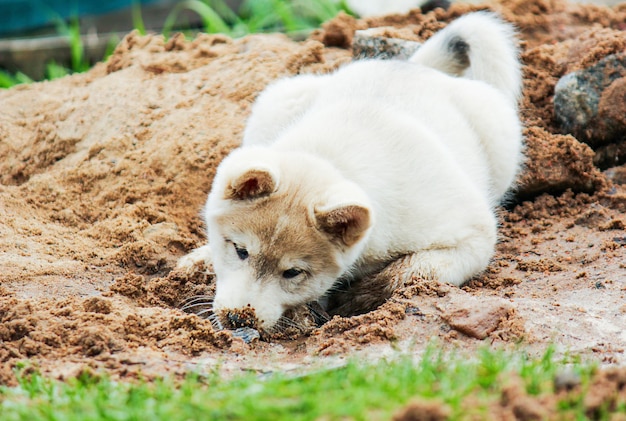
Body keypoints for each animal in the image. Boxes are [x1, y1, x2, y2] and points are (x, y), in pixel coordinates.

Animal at [179, 13, 520, 332]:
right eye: (240, 251)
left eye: (293, 272)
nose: (237, 319)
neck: (333, 158)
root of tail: (413, 67)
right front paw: (201, 257)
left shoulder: (474, 236)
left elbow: (413, 269)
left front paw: (362, 296)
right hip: (276, 101)